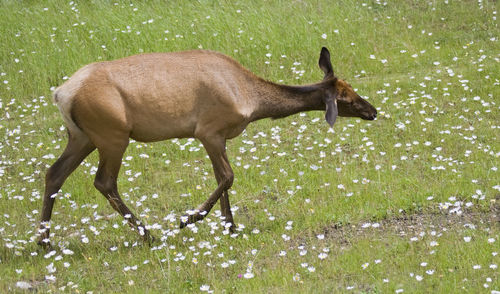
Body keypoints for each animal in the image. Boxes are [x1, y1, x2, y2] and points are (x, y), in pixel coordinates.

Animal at [37, 47, 376, 247]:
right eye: (344, 97)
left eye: (350, 87)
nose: (372, 111)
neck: (251, 99)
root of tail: (61, 93)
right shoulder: (209, 131)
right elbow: (228, 177)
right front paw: (189, 219)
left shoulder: (217, 137)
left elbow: (221, 179)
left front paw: (231, 227)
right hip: (113, 136)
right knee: (104, 181)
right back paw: (151, 234)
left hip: (81, 136)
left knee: (54, 173)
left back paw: (44, 241)